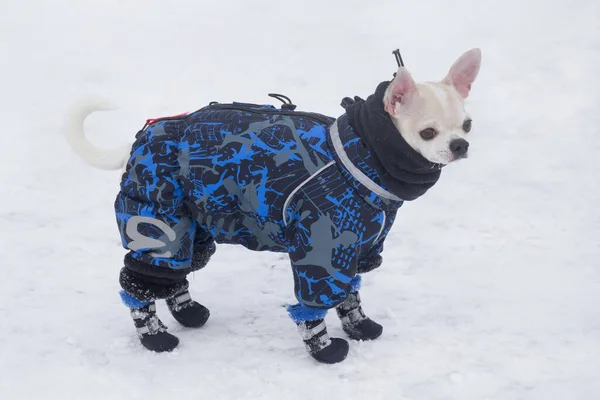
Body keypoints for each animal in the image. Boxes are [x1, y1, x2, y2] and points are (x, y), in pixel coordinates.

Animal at [64, 47, 482, 362]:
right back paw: (154, 336)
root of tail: (142, 137)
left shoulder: (355, 247)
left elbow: (350, 294)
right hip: (156, 221)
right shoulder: (322, 251)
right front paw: (324, 348)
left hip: (192, 228)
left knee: (175, 275)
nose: (460, 145)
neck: (360, 154)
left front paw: (359, 325)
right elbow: (315, 306)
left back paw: (187, 311)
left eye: (467, 125)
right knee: (141, 284)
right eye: (427, 132)